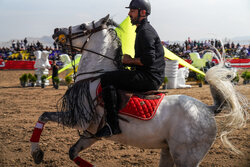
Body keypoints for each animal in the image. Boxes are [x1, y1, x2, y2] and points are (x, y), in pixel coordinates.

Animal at [29, 15, 248, 166]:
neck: (94, 76)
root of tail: (208, 110)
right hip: (168, 151)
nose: (56, 29)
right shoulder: (91, 133)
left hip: (186, 157)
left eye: (83, 26)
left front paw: (36, 152)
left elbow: (43, 115)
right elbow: (72, 152)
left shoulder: (78, 119)